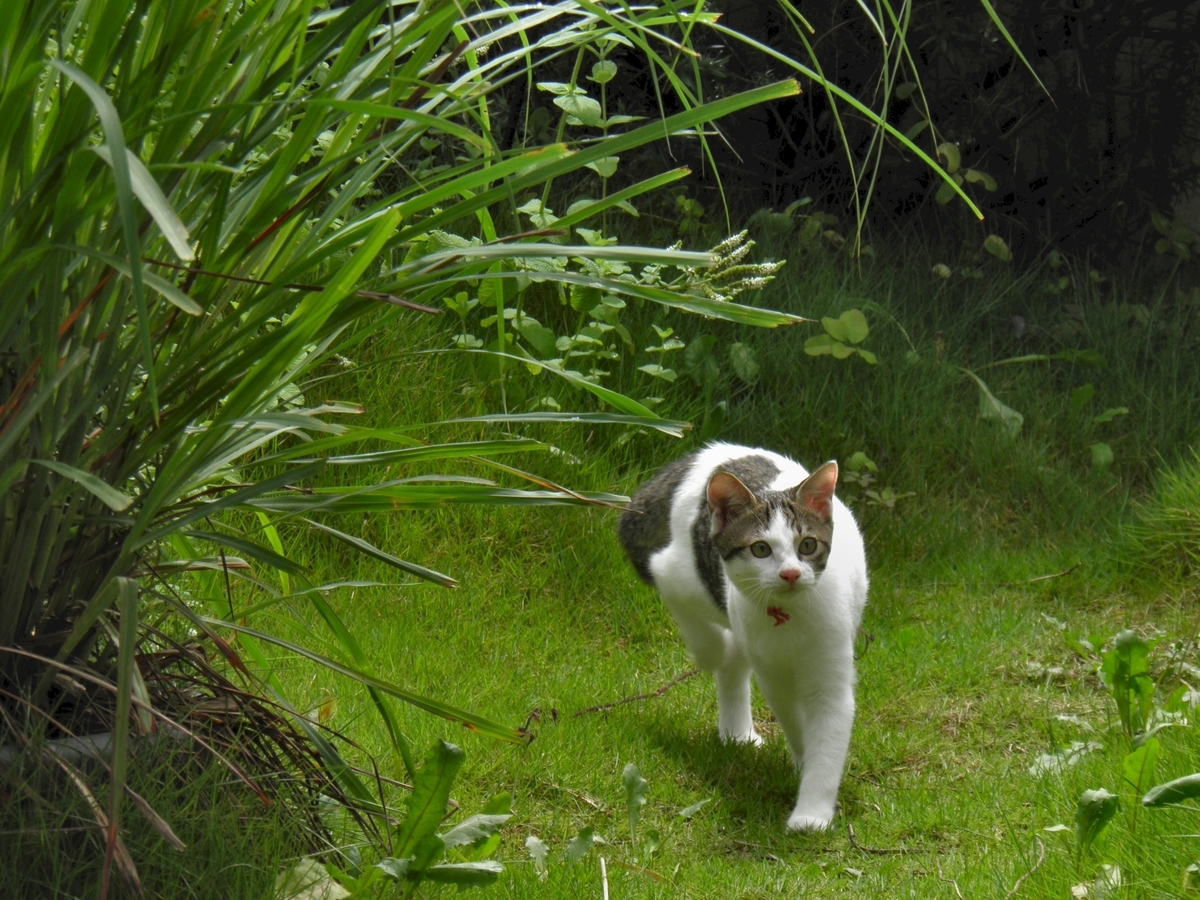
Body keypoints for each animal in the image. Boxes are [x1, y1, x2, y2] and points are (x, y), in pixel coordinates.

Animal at [619, 444, 873, 830]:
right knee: (706, 633)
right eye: (760, 549)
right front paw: (804, 767)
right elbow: (793, 719)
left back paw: (737, 732)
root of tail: (710, 452)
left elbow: (827, 735)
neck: (788, 619)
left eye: (808, 545)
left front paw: (812, 813)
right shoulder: (774, 675)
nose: (790, 574)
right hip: (689, 577)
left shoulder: (829, 671)